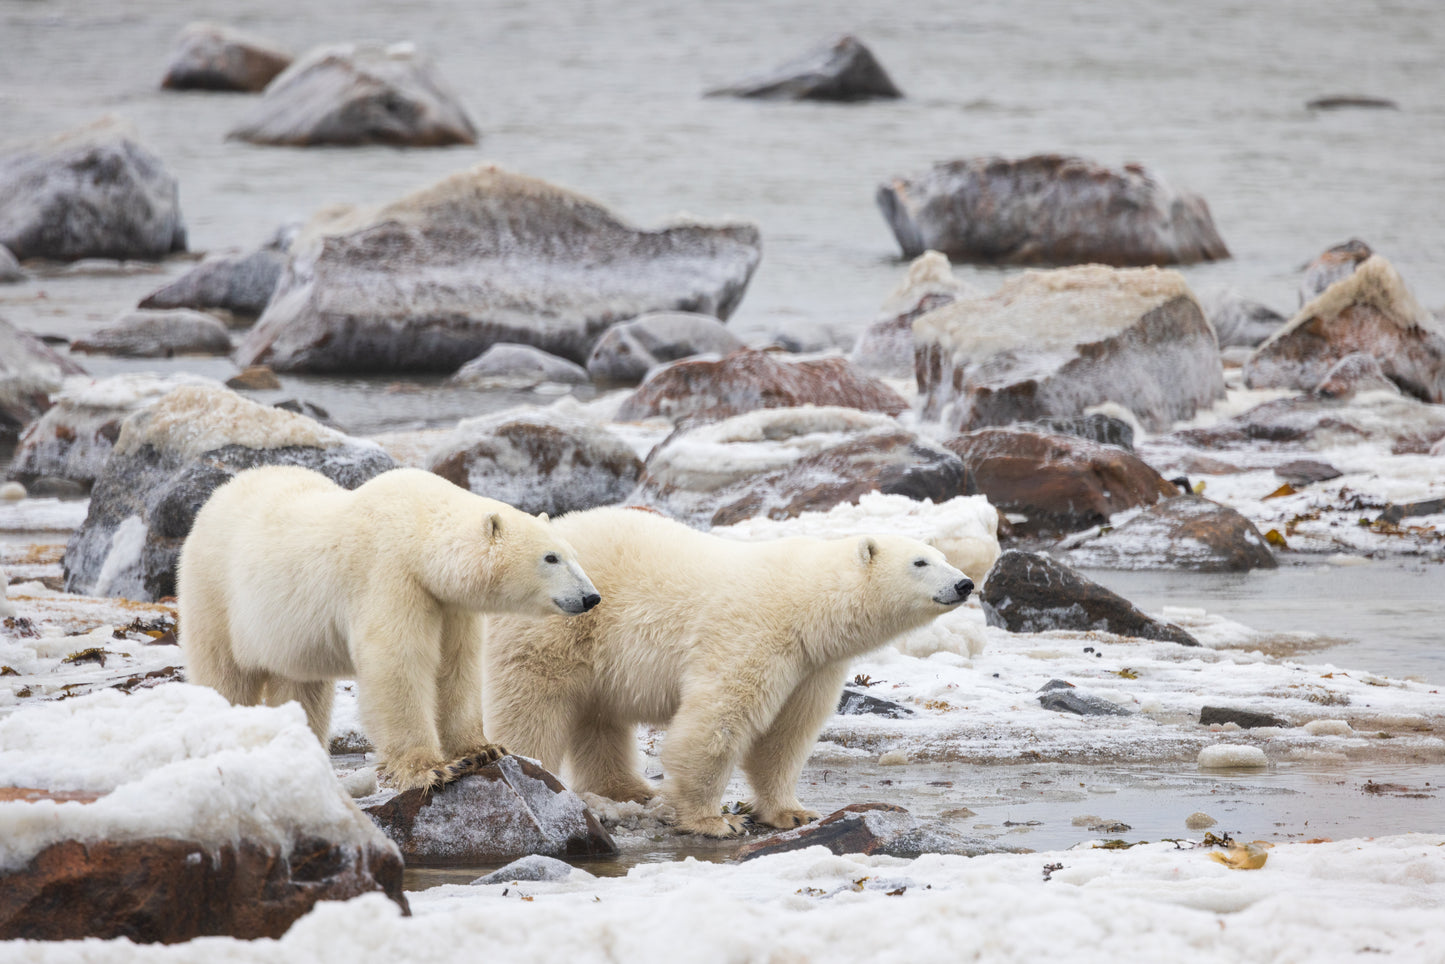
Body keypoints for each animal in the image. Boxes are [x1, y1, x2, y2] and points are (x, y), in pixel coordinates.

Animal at [179, 465, 598, 792]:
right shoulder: (390, 575)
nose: (590, 597)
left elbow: (456, 666)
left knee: (302, 689)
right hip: (215, 592)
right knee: (224, 675)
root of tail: (218, 495)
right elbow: (398, 664)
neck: (418, 532)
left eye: (574, 554)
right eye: (550, 557)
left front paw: (482, 749)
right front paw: (433, 769)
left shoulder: (448, 604)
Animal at [482, 511, 971, 838]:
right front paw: (716, 820)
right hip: (557, 626)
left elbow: (785, 736)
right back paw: (536, 773)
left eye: (943, 556)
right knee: (533, 704)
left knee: (599, 719)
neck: (804, 602)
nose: (965, 583)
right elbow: (717, 723)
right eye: (920, 562)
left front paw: (794, 813)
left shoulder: (812, 666)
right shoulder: (752, 635)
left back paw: (629, 790)